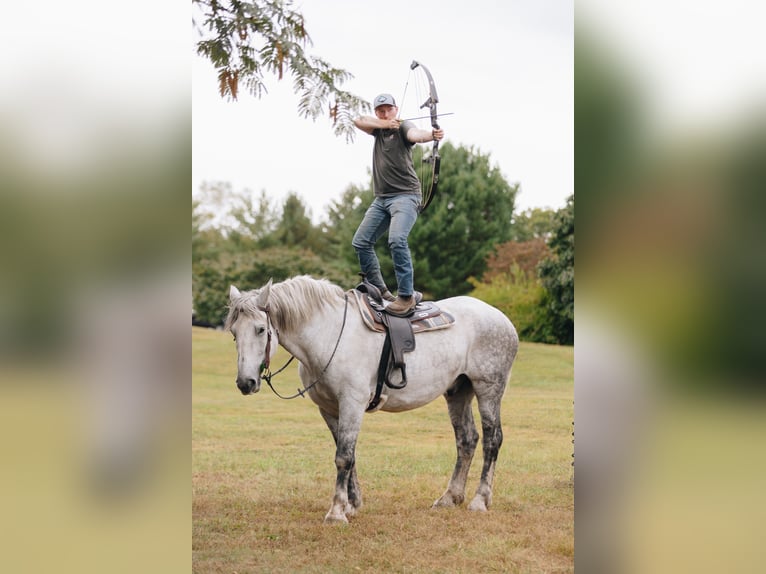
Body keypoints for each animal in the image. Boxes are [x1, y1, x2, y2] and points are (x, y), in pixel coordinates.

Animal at [225, 276, 520, 524]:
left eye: (260, 329)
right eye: (234, 333)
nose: (245, 383)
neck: (329, 334)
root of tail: (502, 319)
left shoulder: (352, 403)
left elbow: (343, 457)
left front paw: (336, 512)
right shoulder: (329, 409)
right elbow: (349, 455)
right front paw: (352, 505)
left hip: (488, 389)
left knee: (492, 440)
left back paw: (480, 500)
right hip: (458, 391)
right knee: (467, 439)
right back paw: (450, 497)